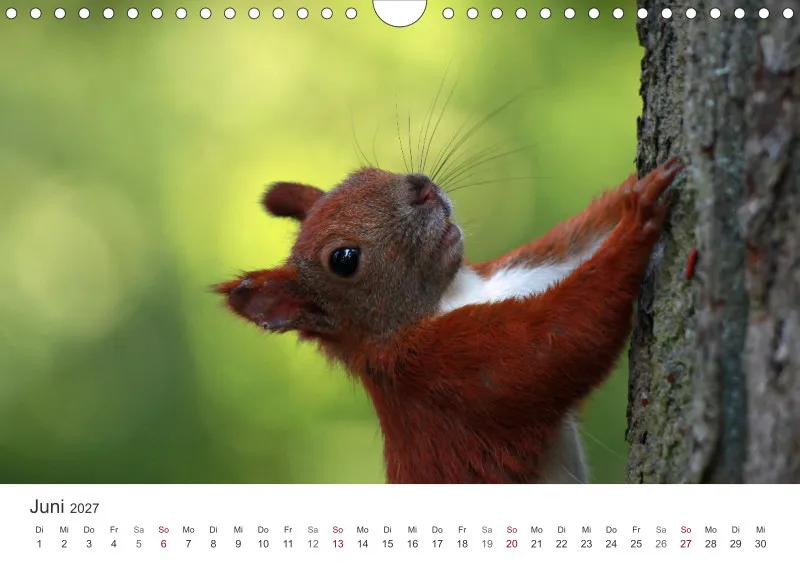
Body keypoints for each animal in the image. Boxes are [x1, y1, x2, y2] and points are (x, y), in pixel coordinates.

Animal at [214, 156, 684, 483]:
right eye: (344, 259)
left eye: (364, 172)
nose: (420, 188)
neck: (449, 295)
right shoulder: (447, 371)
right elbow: (559, 339)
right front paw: (637, 220)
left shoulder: (514, 276)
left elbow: (575, 244)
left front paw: (630, 192)